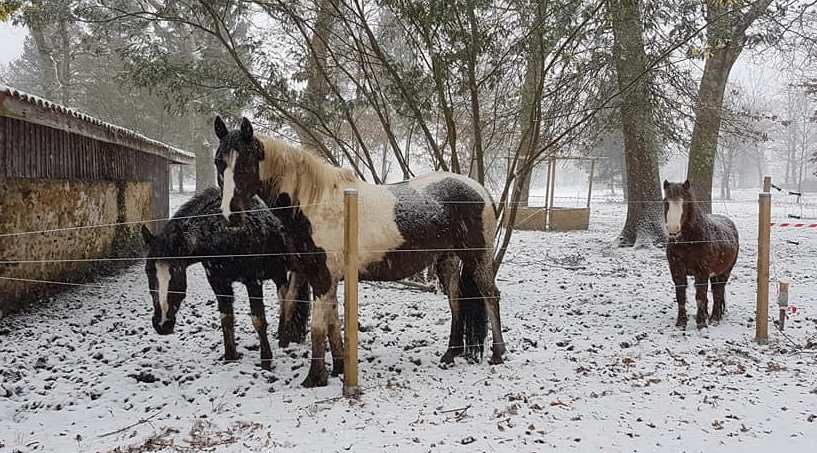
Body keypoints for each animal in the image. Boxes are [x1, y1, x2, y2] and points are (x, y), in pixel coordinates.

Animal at [140, 186, 310, 368]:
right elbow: (226, 318)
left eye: (176, 270)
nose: (162, 324)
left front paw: (266, 360)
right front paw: (230, 356)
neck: (228, 232)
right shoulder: (219, 284)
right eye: (148, 270)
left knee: (288, 301)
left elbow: (258, 319)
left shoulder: (253, 282)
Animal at [210, 115, 504, 386]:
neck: (316, 203)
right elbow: (332, 324)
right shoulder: (325, 278)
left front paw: (314, 378)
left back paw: (498, 354)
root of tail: (481, 190)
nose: (230, 214)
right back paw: (450, 355)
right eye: (219, 162)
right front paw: (339, 367)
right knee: (456, 301)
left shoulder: (323, 277)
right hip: (447, 260)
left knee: (490, 295)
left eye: (246, 162)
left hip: (477, 256)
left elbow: (318, 328)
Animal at [664, 180, 740, 328]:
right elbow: (681, 295)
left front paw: (701, 324)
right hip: (714, 274)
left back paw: (714, 318)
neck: (689, 242)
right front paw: (681, 322)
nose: (673, 230)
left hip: (724, 272)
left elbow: (700, 296)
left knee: (718, 292)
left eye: (685, 203)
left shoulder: (702, 271)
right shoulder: (677, 270)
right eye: (666, 202)